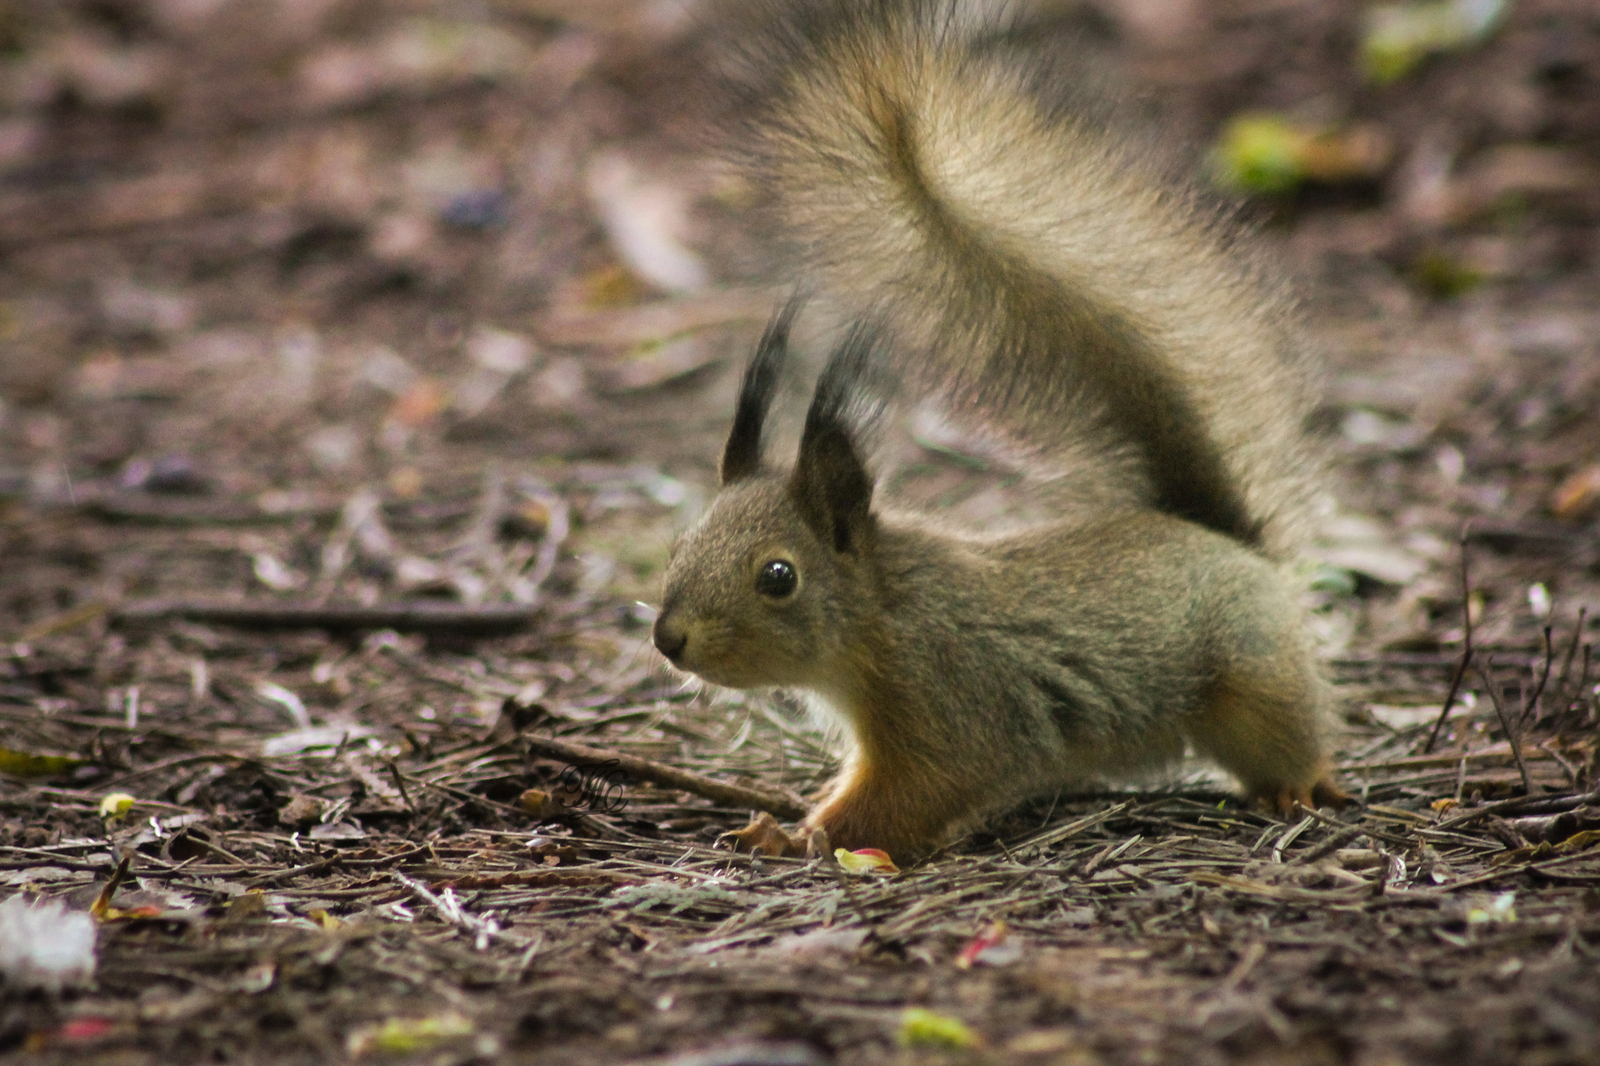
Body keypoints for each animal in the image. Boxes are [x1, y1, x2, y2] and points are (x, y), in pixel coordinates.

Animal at [652, 0, 1350, 857]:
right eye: (680, 544)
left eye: (778, 577)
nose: (668, 638)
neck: (881, 613)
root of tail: (1229, 541)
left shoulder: (951, 699)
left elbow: (919, 791)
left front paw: (800, 835)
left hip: (1255, 681)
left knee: (1291, 737)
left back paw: (1304, 787)